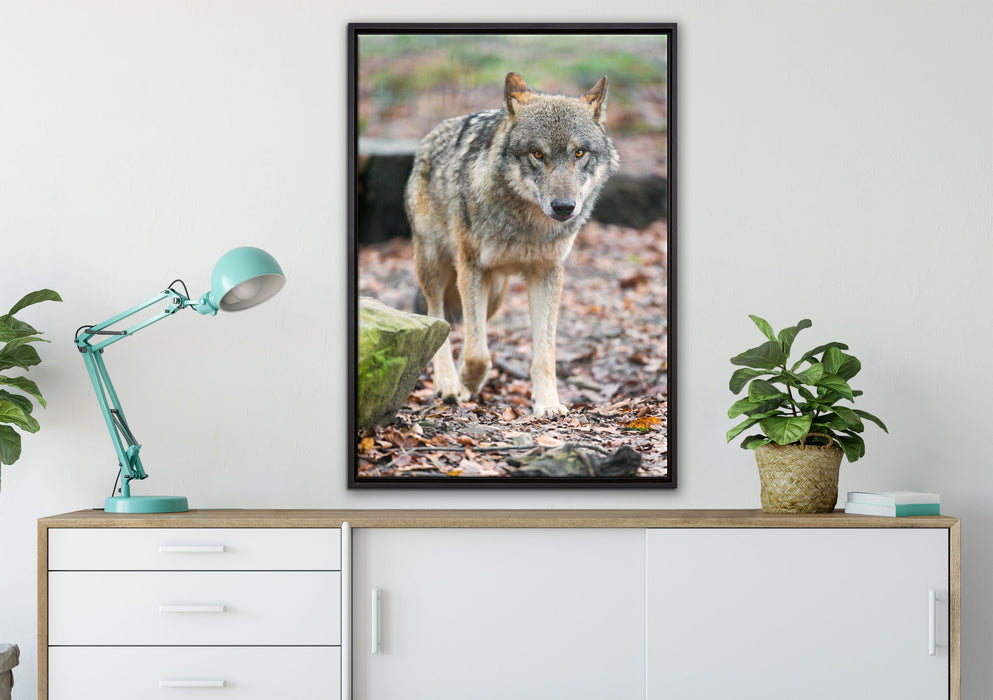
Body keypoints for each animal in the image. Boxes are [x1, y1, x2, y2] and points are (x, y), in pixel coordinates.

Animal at [405, 72, 620, 417]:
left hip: (495, 294)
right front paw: (466, 383)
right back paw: (448, 383)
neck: (527, 226)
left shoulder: (547, 275)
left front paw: (548, 403)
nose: (564, 207)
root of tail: (431, 136)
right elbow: (478, 354)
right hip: (435, 266)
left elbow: (544, 354)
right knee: (437, 318)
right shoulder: (471, 267)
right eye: (538, 154)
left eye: (579, 153)